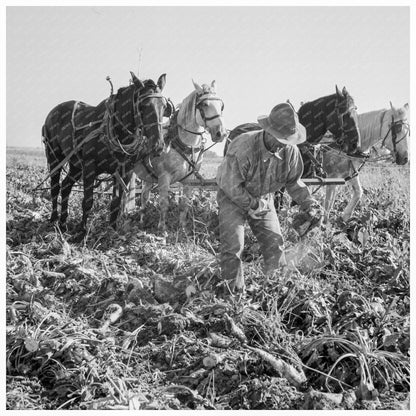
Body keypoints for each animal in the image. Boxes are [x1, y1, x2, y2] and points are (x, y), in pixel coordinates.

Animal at [42, 71, 172, 234]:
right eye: (143, 105)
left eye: (164, 106)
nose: (158, 145)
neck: (118, 131)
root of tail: (53, 112)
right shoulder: (89, 167)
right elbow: (88, 201)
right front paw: (82, 230)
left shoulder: (125, 171)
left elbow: (116, 202)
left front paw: (112, 230)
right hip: (55, 157)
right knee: (55, 186)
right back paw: (53, 219)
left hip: (76, 163)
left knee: (66, 186)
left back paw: (63, 223)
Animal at [134, 79, 228, 232]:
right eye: (204, 104)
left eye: (221, 105)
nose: (221, 133)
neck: (183, 144)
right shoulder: (164, 178)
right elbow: (164, 204)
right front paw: (162, 229)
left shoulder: (188, 180)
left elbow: (184, 204)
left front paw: (183, 228)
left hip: (148, 176)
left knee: (144, 196)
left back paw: (142, 220)